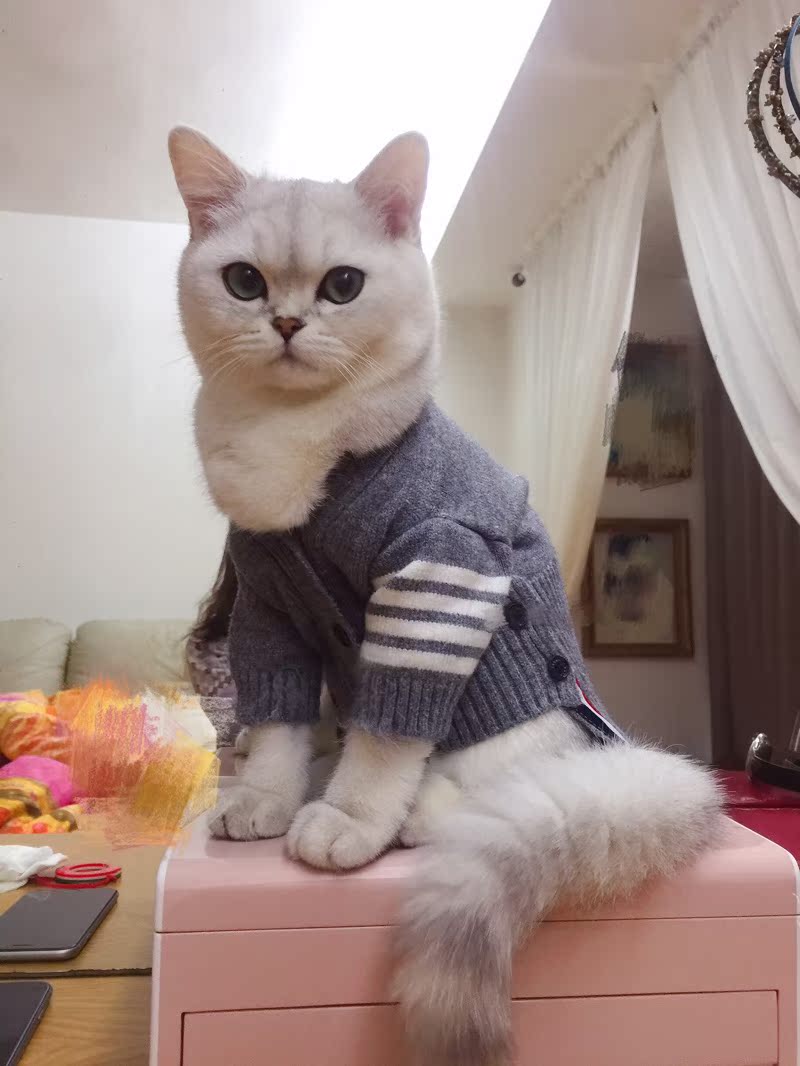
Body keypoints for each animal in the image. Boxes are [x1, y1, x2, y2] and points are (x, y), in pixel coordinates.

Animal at [169, 126, 722, 1066]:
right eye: (243, 280)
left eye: (342, 285)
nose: (287, 322)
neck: (295, 448)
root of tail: (617, 753)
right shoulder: (268, 616)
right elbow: (275, 729)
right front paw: (266, 803)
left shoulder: (435, 584)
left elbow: (388, 739)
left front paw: (346, 823)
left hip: (503, 720)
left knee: (477, 789)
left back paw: (406, 814)